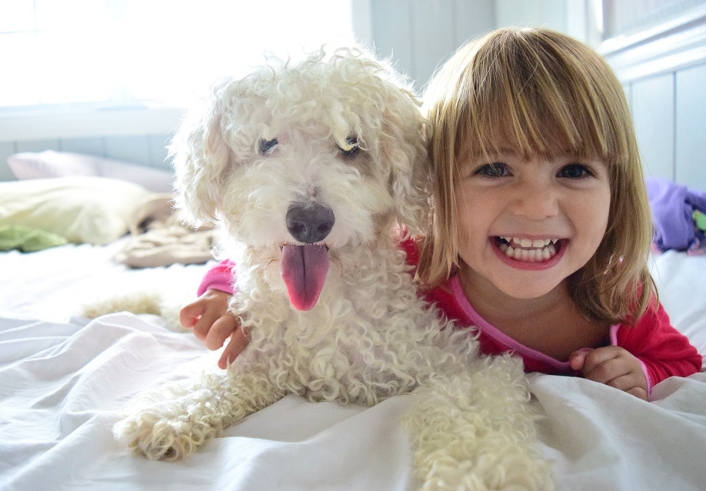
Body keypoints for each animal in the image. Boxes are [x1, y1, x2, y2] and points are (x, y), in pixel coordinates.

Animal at [111, 47, 552, 491]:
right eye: (267, 143)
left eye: (352, 146)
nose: (310, 222)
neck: (322, 308)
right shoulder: (258, 354)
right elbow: (217, 381)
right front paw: (171, 411)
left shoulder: (461, 364)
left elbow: (471, 414)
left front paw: (480, 471)